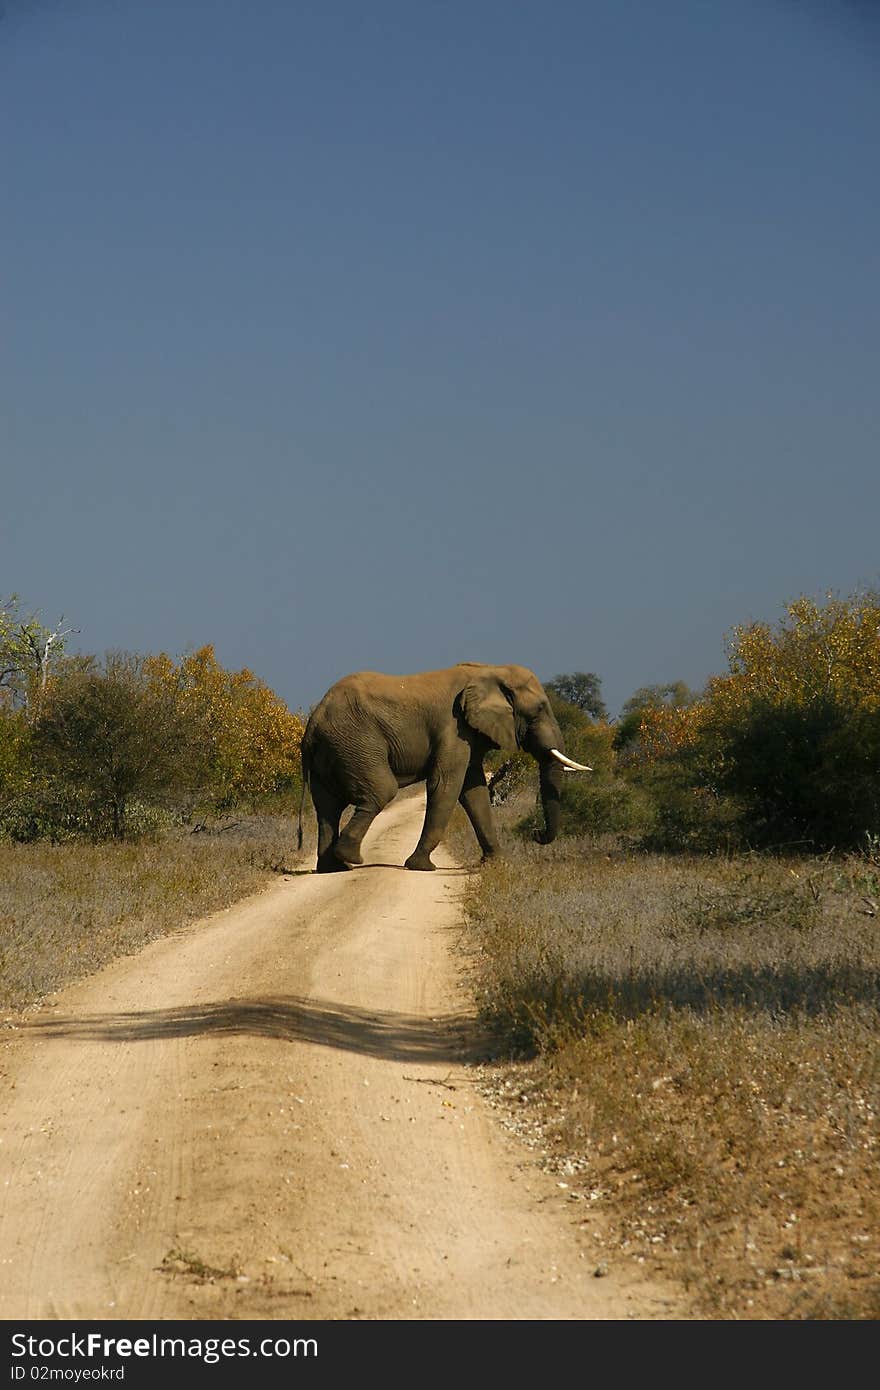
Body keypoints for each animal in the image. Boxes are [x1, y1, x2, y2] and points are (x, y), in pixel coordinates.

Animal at [294, 658, 589, 872]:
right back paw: (351, 859)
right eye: (539, 710)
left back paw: (333, 868)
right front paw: (421, 866)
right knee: (381, 791)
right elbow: (446, 784)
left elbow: (474, 790)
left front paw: (496, 864)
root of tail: (313, 722)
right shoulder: (453, 727)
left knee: (328, 807)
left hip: (332, 750)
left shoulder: (468, 732)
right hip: (356, 742)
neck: (489, 670)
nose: (536, 833)